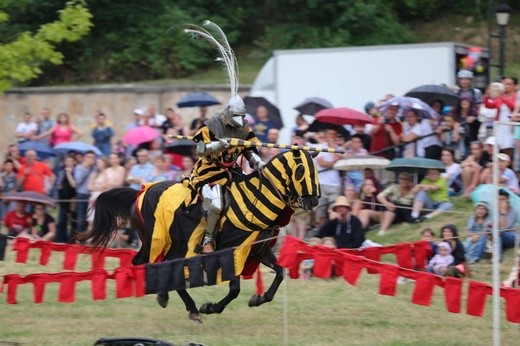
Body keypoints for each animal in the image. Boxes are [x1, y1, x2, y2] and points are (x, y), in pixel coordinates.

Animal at [80, 149, 318, 322]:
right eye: (300, 171)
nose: (313, 202)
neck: (254, 200)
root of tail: (139, 192)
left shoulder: (258, 250)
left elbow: (280, 273)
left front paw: (258, 299)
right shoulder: (232, 252)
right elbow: (234, 288)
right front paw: (210, 307)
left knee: (153, 265)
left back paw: (166, 296)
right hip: (158, 242)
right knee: (152, 264)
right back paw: (190, 307)